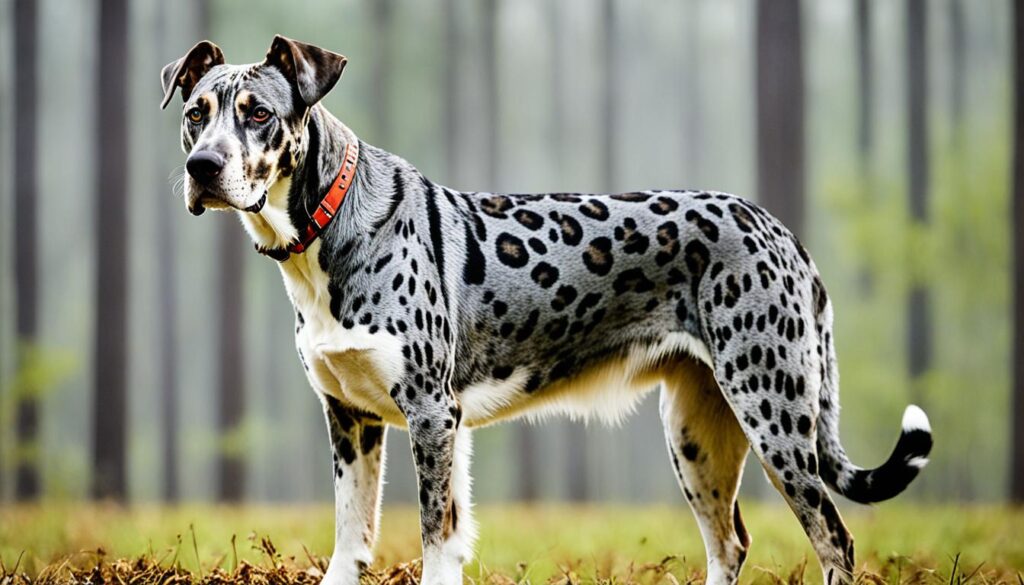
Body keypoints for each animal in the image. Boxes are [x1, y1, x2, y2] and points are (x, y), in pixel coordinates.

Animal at [159, 35, 937, 585]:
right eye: (196, 115)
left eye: (258, 114)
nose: (202, 168)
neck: (327, 234)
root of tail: (780, 230)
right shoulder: (351, 417)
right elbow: (355, 541)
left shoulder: (432, 413)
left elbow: (434, 539)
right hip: (696, 432)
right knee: (730, 544)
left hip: (772, 412)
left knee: (834, 537)